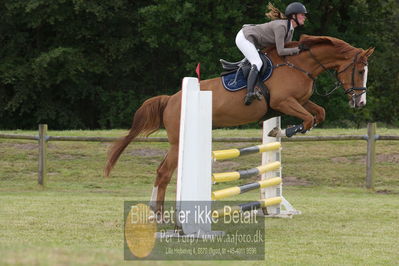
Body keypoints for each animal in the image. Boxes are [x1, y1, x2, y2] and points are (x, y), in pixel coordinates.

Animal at [104, 35, 374, 214]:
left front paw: (281, 130)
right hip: (178, 143)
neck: (300, 64)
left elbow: (319, 114)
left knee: (161, 171)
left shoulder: (299, 101)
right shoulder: (284, 101)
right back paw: (158, 213)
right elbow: (307, 118)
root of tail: (171, 99)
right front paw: (284, 130)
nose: (360, 102)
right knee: (163, 173)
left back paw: (153, 209)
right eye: (361, 71)